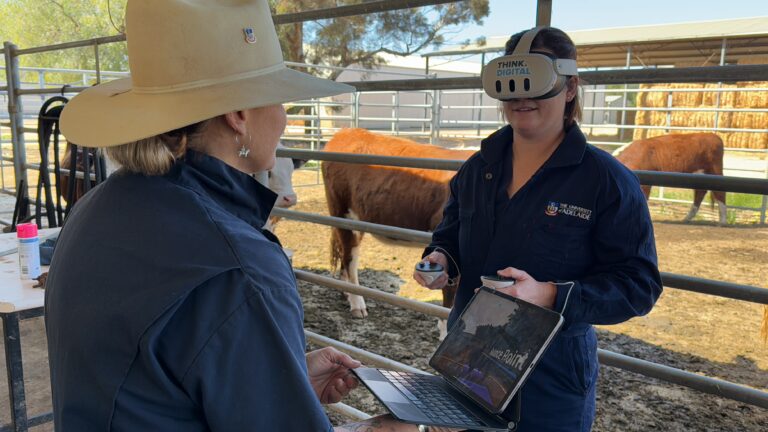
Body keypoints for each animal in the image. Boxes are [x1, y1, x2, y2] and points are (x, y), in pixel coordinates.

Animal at [320, 125, 474, 334]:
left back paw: (346, 293)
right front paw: (445, 332)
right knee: (350, 259)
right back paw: (357, 303)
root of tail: (347, 131)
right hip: (342, 214)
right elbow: (450, 297)